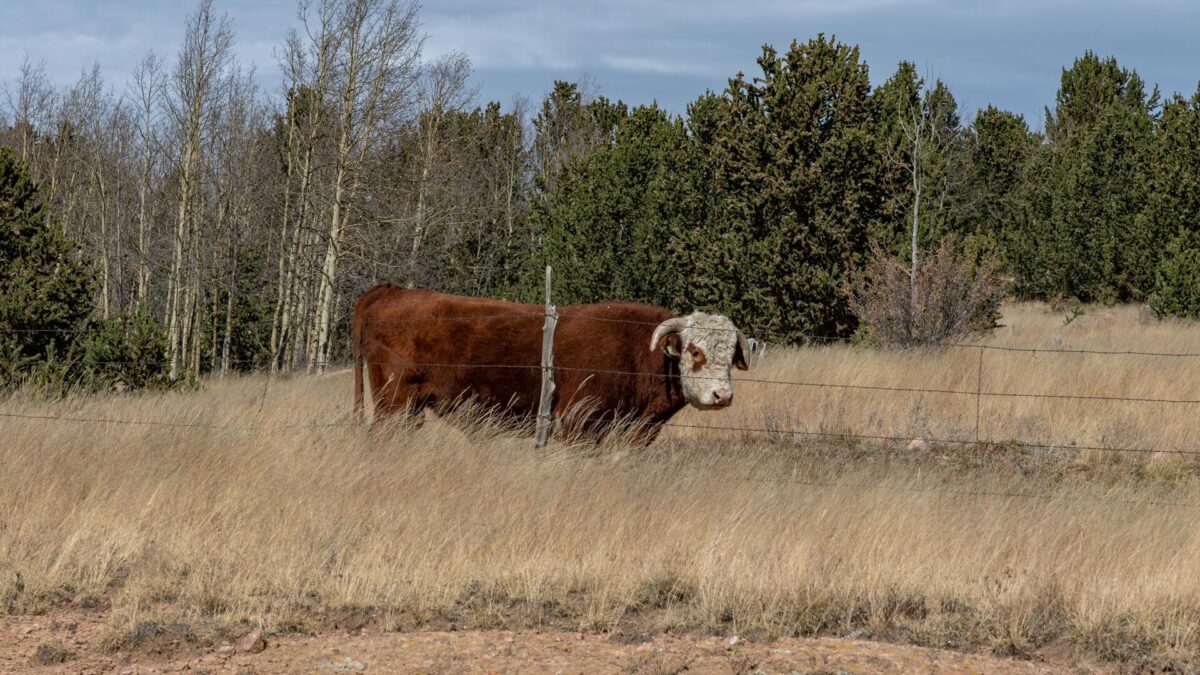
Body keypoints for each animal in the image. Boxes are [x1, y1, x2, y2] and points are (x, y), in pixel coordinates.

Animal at [350, 282, 748, 441]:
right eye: (695, 351)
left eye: (731, 355)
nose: (723, 396)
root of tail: (390, 291)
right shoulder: (579, 424)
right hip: (394, 405)